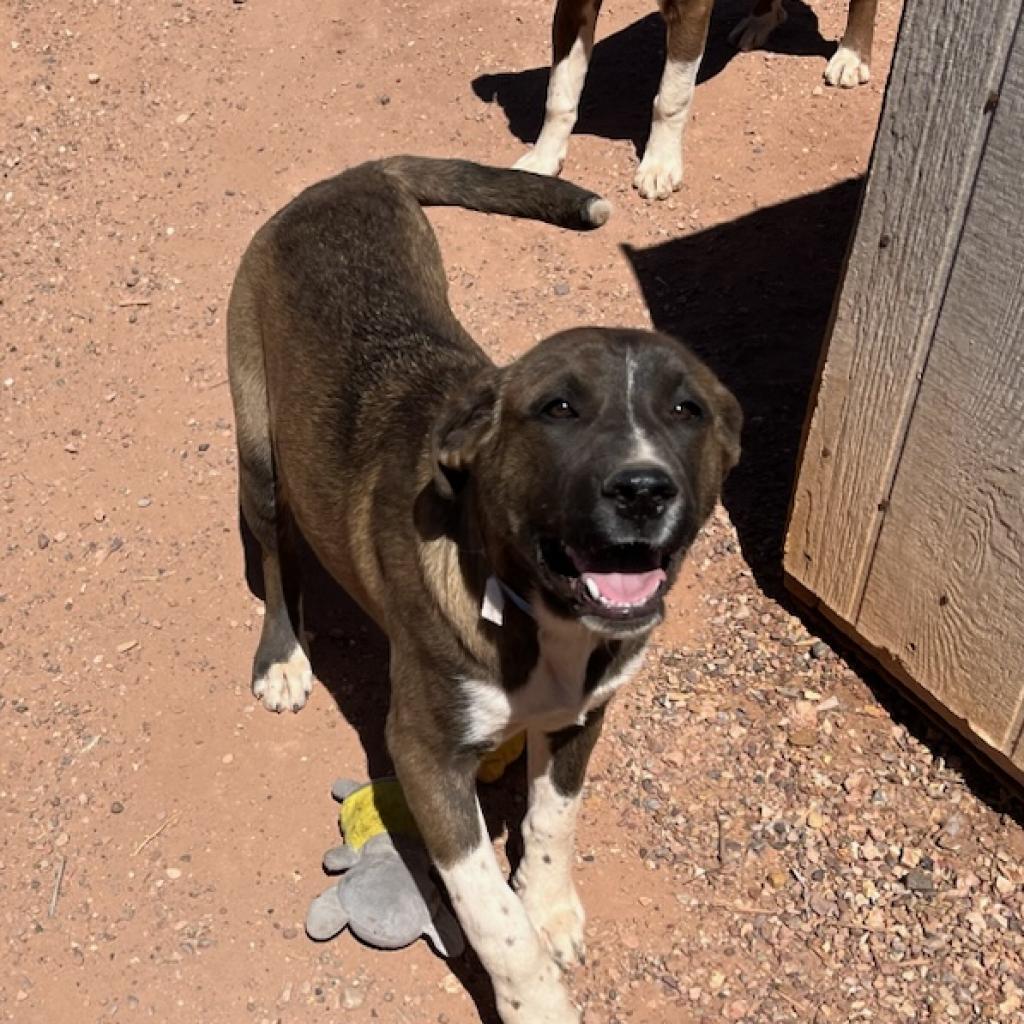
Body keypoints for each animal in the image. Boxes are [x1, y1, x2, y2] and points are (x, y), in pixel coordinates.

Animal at [228, 155, 741, 1019]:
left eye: (687, 409)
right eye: (558, 408)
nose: (644, 489)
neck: (544, 617)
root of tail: (355, 173)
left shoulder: (583, 717)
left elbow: (554, 820)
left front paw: (551, 908)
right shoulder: (423, 753)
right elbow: (489, 913)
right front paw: (537, 1002)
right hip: (259, 443)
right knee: (274, 556)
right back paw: (284, 659)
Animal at [520, 0, 880, 197]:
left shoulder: (690, 8)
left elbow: (671, 98)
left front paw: (660, 164)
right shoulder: (573, 6)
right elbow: (559, 94)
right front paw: (544, 157)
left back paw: (851, 55)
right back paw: (761, 19)